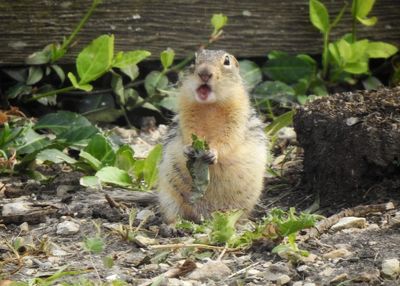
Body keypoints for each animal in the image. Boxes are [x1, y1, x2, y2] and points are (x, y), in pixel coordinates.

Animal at [158, 49, 268, 223]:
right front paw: (188, 149)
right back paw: (173, 225)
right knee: (173, 214)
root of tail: (205, 216)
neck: (210, 106)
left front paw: (213, 153)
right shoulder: (186, 115)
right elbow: (188, 133)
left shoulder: (237, 117)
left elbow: (228, 139)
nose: (204, 73)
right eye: (194, 59)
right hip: (168, 197)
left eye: (227, 61)